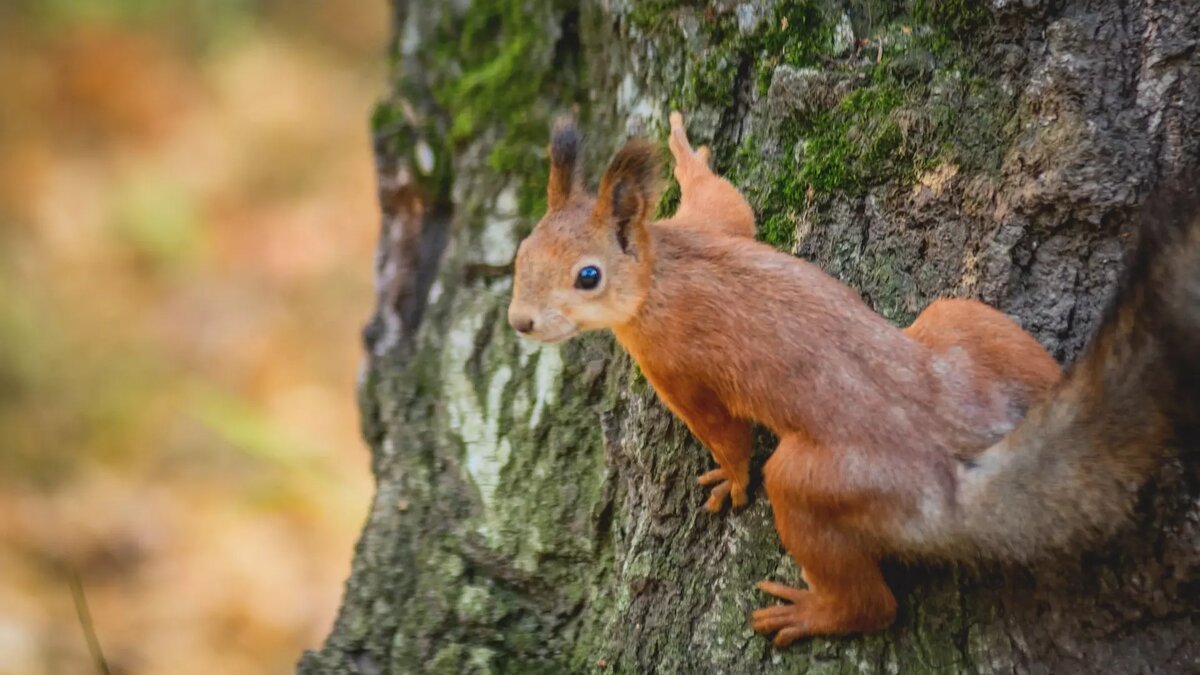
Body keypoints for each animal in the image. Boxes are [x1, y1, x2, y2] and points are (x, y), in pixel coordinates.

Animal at [504, 111, 1200, 648]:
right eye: (520, 254)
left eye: (587, 277)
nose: (520, 322)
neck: (662, 272)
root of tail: (954, 465)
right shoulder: (711, 229)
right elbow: (728, 201)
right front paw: (688, 155)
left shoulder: (677, 366)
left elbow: (724, 434)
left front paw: (729, 480)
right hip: (964, 329)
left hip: (826, 481)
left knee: (866, 595)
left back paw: (814, 612)